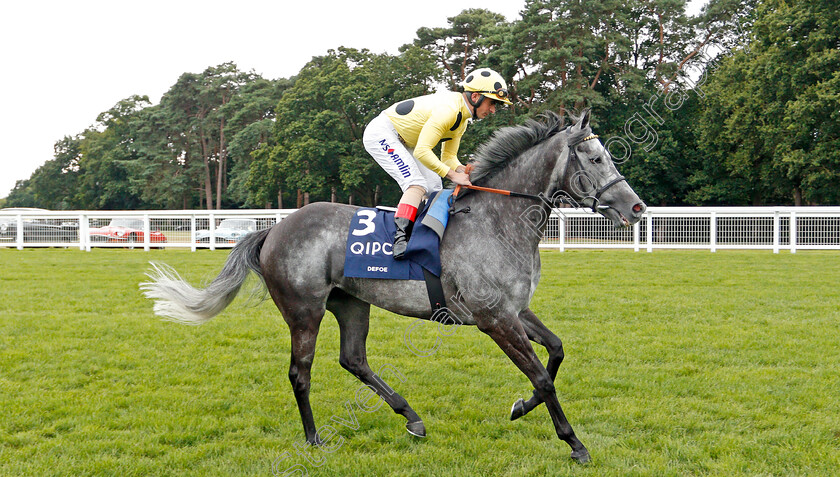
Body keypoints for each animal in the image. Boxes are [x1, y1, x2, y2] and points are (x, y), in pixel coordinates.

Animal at [143, 109, 644, 462]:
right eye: (595, 158)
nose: (636, 208)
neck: (499, 221)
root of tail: (274, 229)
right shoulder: (494, 319)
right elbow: (541, 375)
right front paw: (574, 443)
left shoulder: (516, 310)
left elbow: (555, 352)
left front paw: (522, 407)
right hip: (304, 310)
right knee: (300, 373)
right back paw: (314, 438)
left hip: (351, 303)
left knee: (353, 359)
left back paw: (412, 418)